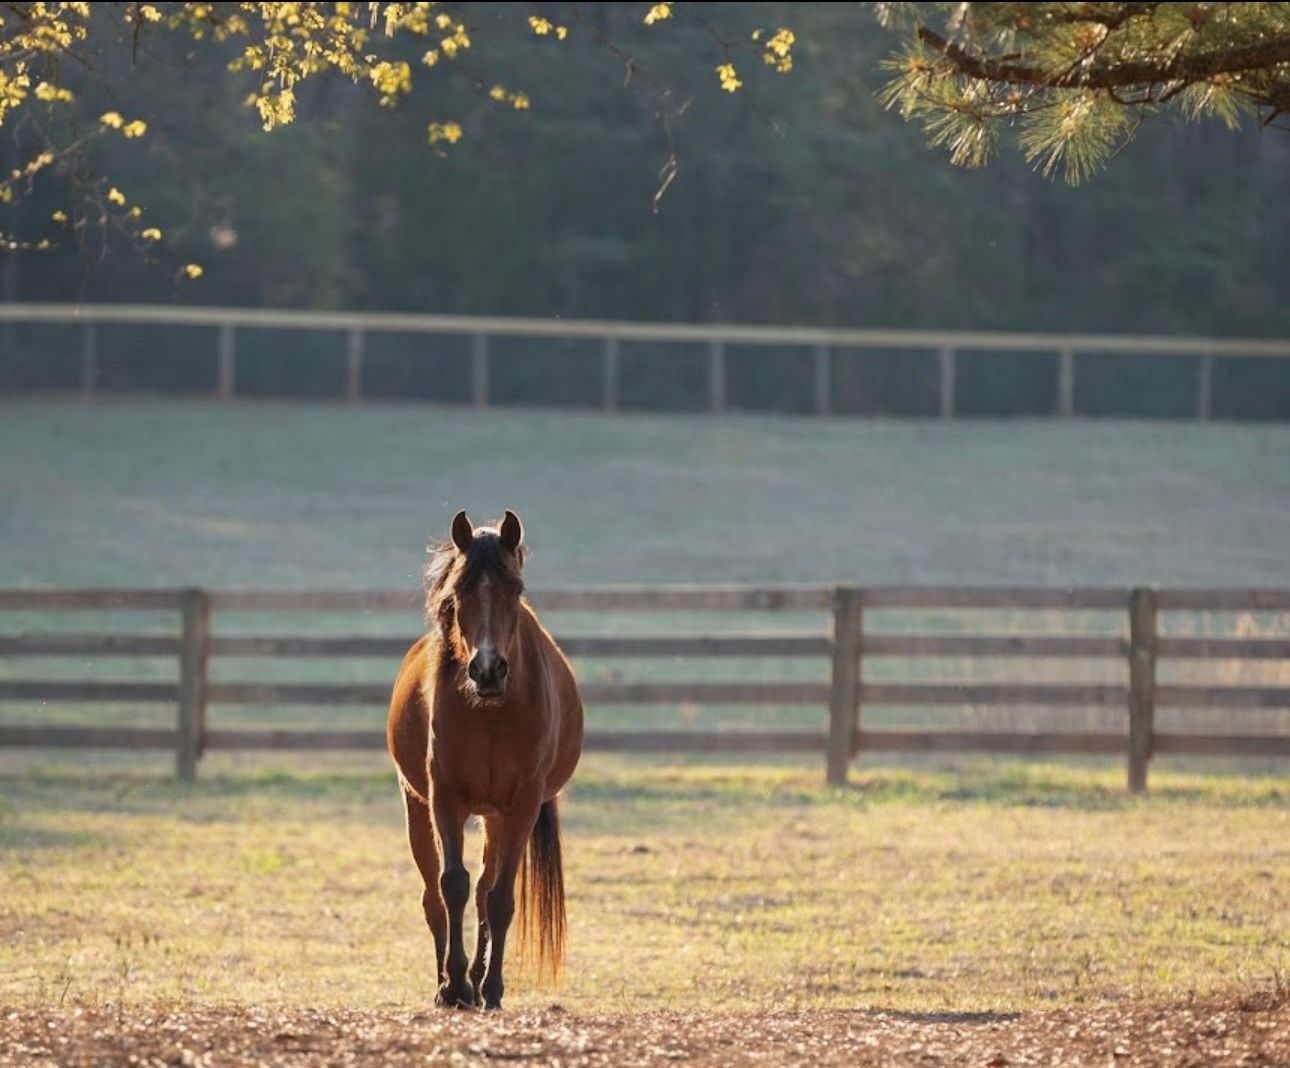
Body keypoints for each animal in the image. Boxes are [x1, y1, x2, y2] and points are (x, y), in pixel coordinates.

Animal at [386, 509, 584, 1010]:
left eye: (516, 589)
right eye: (458, 593)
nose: (488, 670)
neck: (493, 712)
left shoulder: (521, 805)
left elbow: (498, 898)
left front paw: (490, 987)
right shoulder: (445, 797)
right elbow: (451, 884)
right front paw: (454, 984)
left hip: (495, 817)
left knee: (484, 892)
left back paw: (479, 982)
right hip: (418, 805)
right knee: (435, 897)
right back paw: (448, 983)